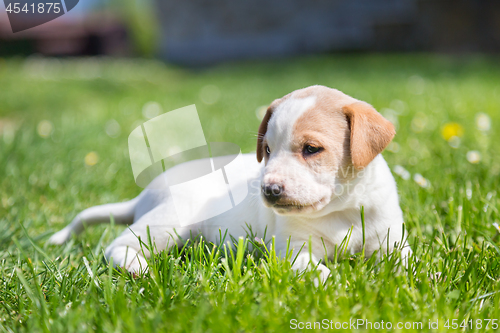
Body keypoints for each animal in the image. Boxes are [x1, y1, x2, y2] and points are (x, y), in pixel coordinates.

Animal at [48, 85, 412, 280]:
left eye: (311, 149)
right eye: (267, 150)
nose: (269, 190)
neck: (342, 210)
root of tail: (144, 196)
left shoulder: (391, 241)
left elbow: (408, 262)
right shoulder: (292, 250)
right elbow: (313, 269)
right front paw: (332, 281)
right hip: (170, 222)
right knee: (119, 245)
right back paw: (137, 267)